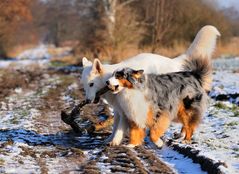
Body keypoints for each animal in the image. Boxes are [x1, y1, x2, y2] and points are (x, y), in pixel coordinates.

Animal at [81, 25, 220, 145]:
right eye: (85, 86)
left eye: (91, 84)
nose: (87, 101)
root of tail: (175, 61)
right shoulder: (119, 110)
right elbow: (115, 127)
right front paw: (110, 139)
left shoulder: (126, 111)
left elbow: (119, 129)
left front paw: (115, 141)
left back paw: (182, 136)